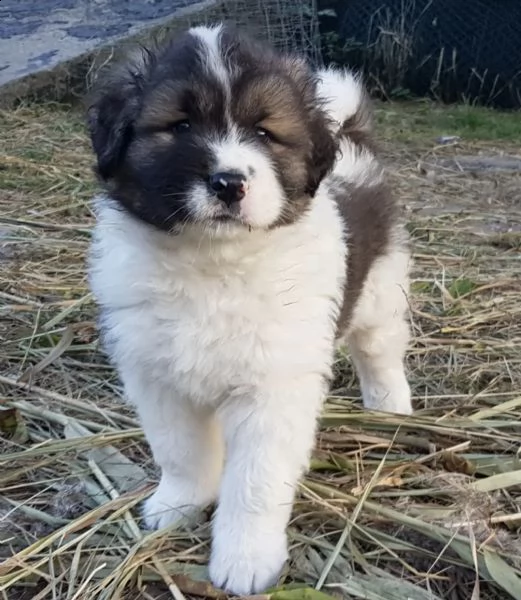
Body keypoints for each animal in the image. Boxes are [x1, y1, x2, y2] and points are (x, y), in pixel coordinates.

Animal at [86, 23, 410, 596]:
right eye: (181, 125)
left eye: (264, 132)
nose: (229, 181)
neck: (213, 263)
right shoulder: (158, 378)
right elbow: (180, 451)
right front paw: (178, 505)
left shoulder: (272, 392)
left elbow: (255, 484)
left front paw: (244, 560)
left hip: (380, 291)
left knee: (380, 352)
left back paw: (392, 407)